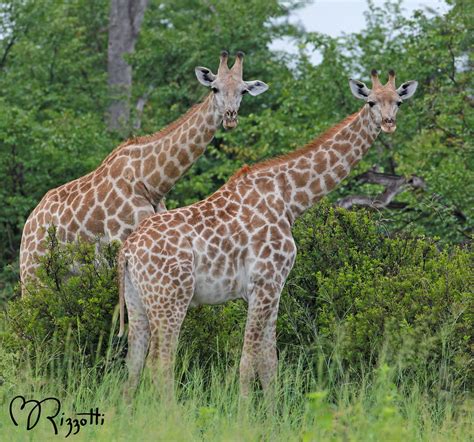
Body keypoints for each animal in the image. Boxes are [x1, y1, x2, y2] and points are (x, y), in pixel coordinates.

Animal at [20, 51, 268, 292]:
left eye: (243, 91)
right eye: (214, 88)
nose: (230, 117)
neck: (152, 182)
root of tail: (28, 224)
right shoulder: (121, 242)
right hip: (33, 275)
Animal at [119, 70, 418, 398]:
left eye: (399, 102)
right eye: (371, 102)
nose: (388, 122)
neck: (289, 199)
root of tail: (127, 252)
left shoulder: (274, 287)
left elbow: (269, 362)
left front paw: (271, 410)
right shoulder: (264, 282)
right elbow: (248, 361)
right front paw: (243, 410)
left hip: (137, 301)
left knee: (133, 363)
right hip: (172, 297)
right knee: (160, 362)